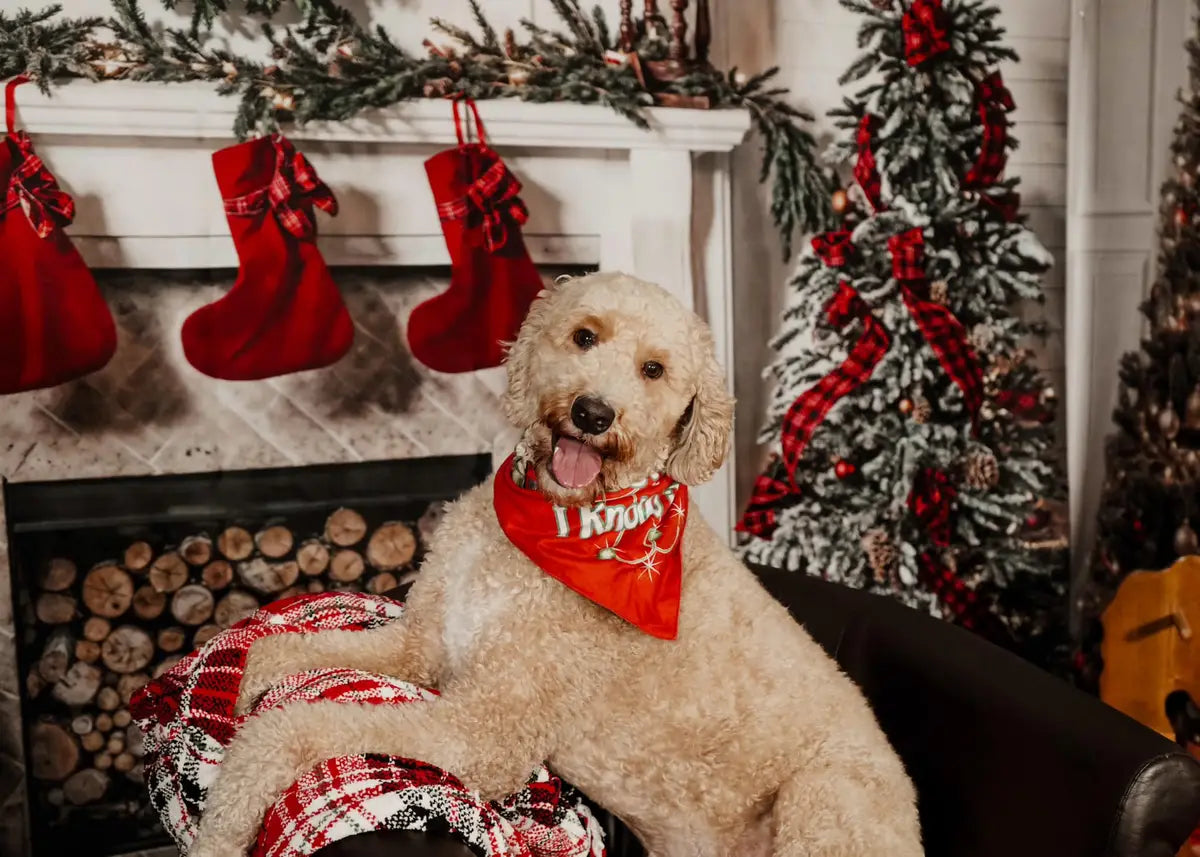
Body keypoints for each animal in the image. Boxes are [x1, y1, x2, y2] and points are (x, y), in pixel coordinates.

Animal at [187, 268, 921, 854]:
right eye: (585, 336)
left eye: (654, 370)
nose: (593, 413)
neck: (550, 528)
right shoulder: (420, 644)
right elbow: (283, 651)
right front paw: (240, 685)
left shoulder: (485, 731)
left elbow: (300, 725)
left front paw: (224, 821)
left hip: (826, 797)